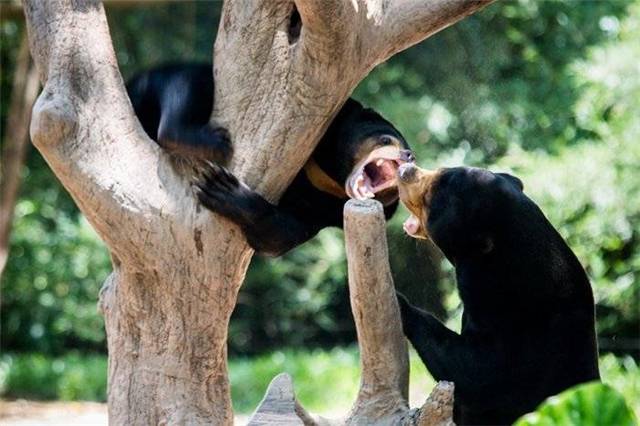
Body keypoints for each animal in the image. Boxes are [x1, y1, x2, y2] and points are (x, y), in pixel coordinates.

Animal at [128, 63, 416, 256]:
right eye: (387, 140)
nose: (409, 155)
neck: (332, 174)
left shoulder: (327, 208)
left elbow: (281, 235)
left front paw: (221, 189)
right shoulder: (333, 117)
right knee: (189, 78)